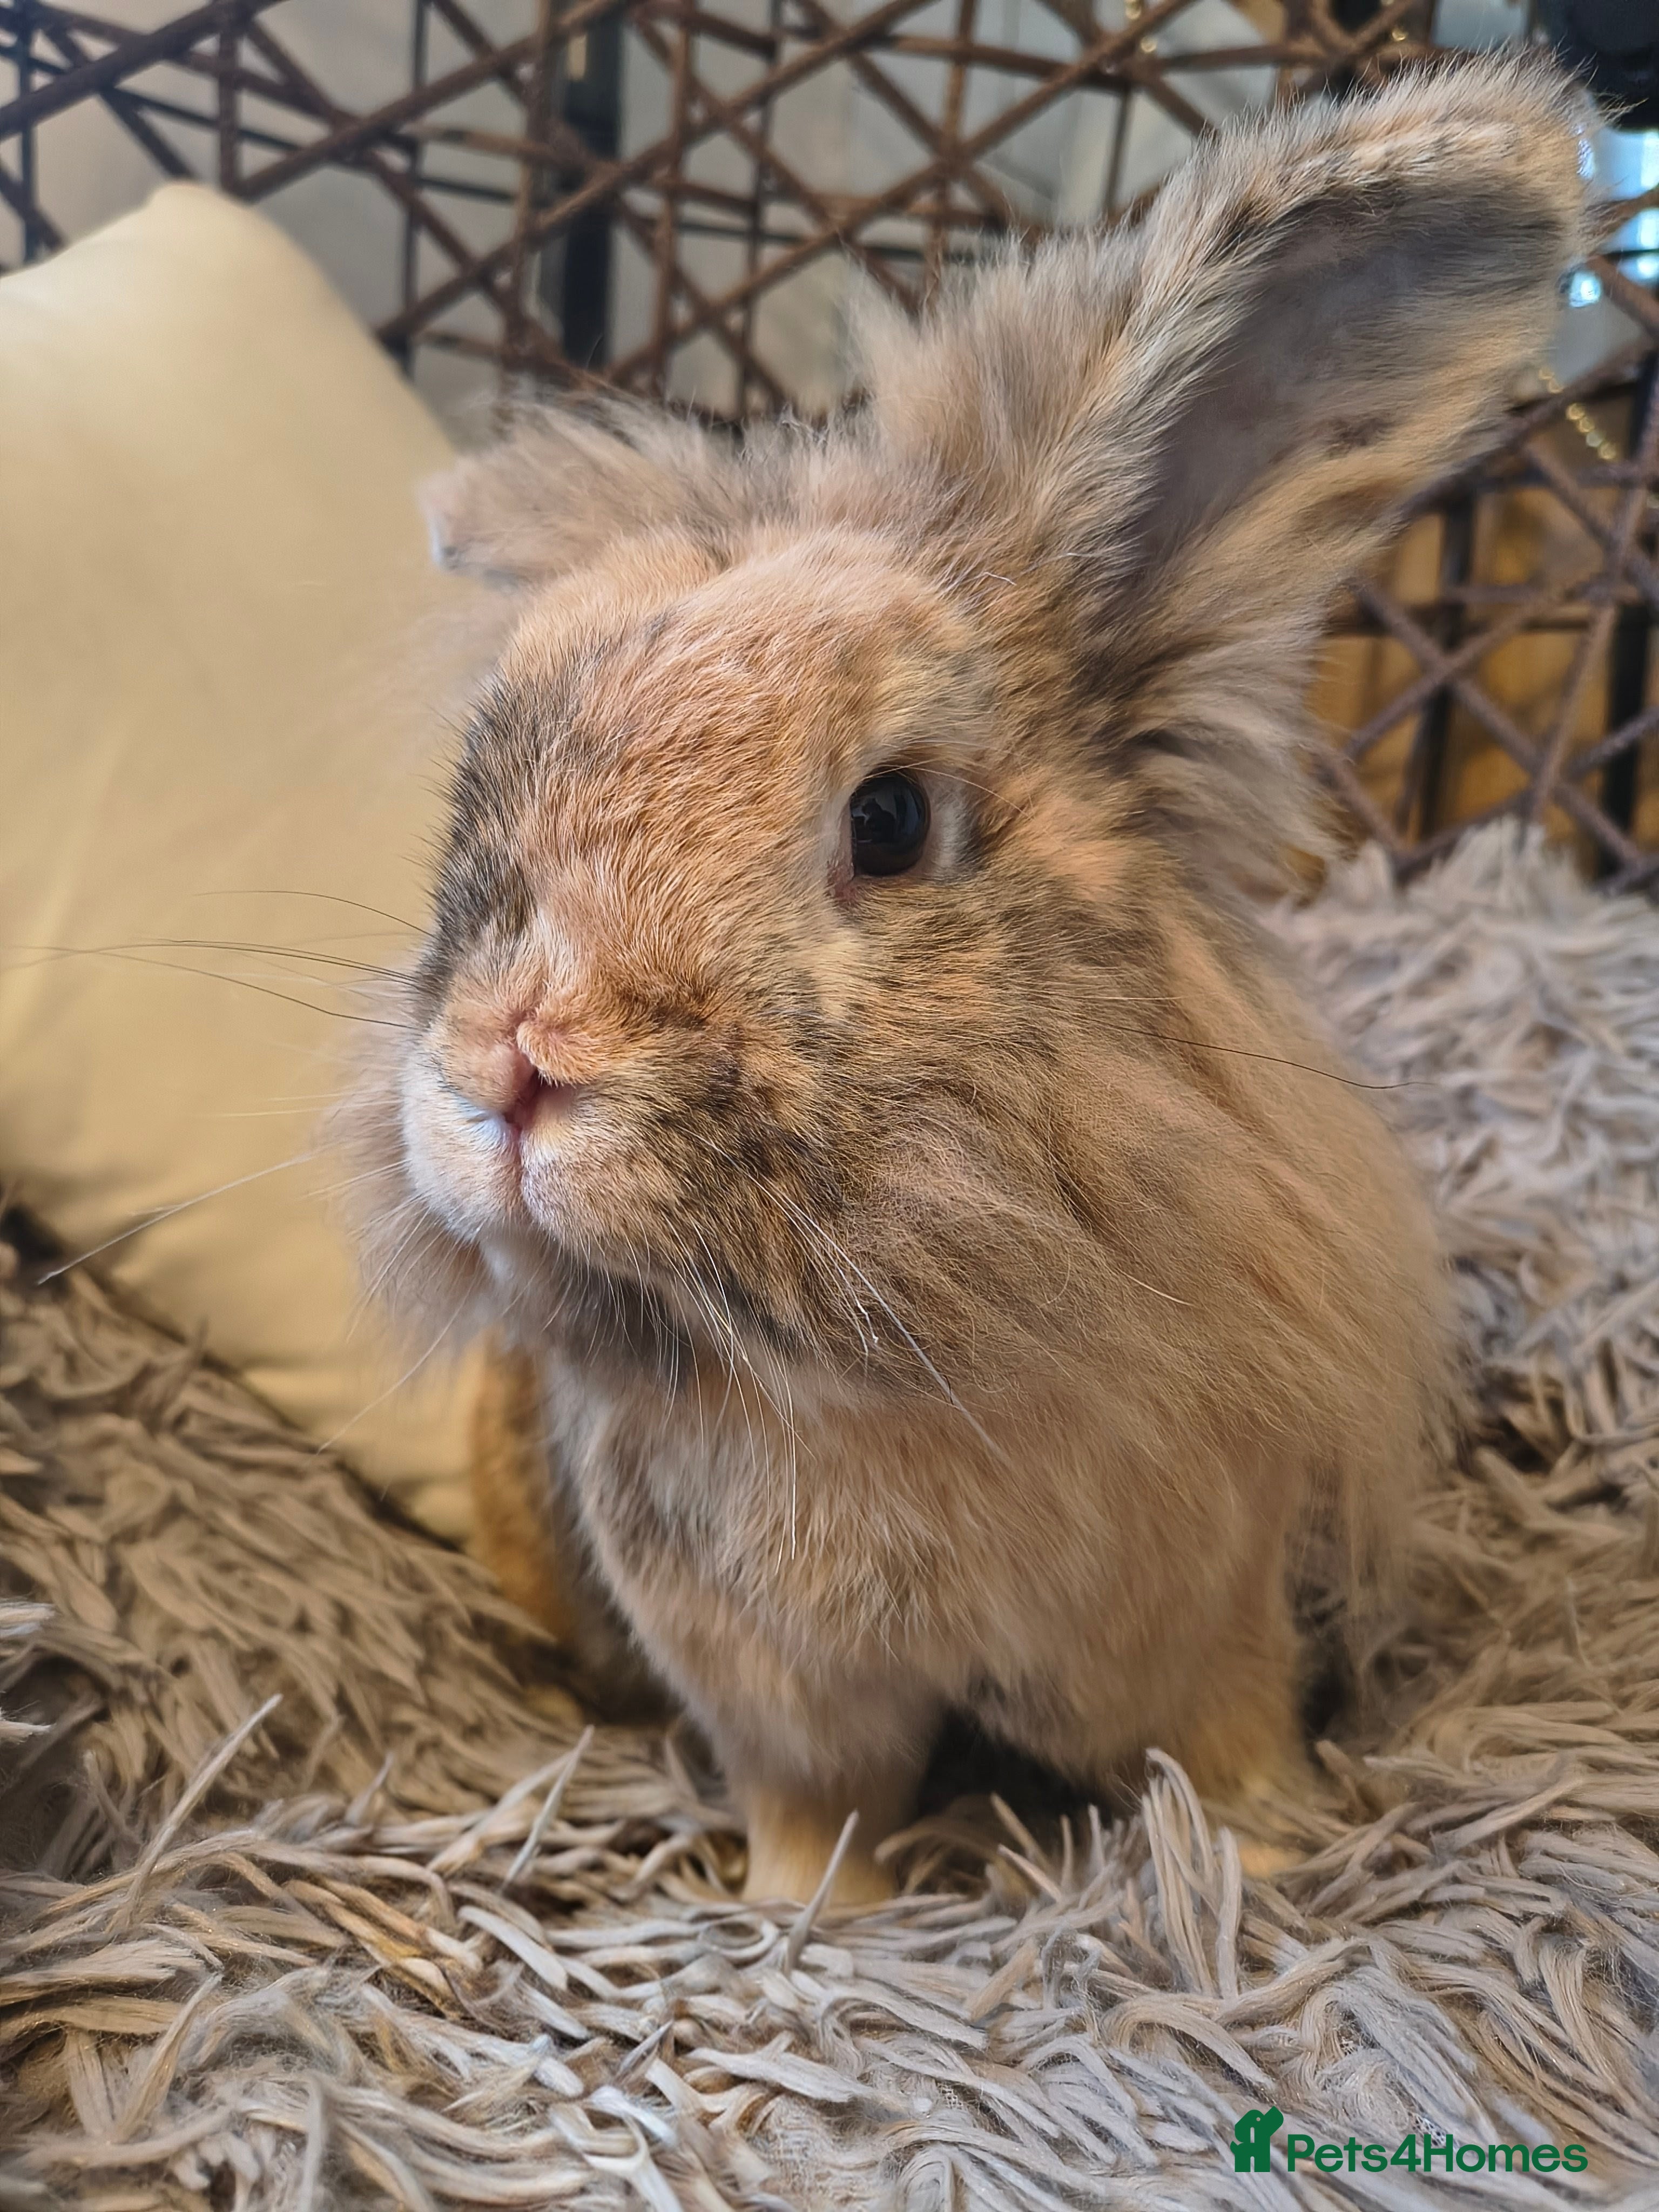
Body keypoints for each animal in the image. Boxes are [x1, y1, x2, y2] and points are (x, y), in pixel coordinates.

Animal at [342, 57, 1588, 1904]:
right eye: (483, 775)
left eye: (891, 820)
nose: (515, 1062)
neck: (883, 1368)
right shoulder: (777, 1698)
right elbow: (818, 1814)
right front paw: (807, 1918)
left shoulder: (1199, 1624)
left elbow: (1225, 1755)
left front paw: (1275, 1867)